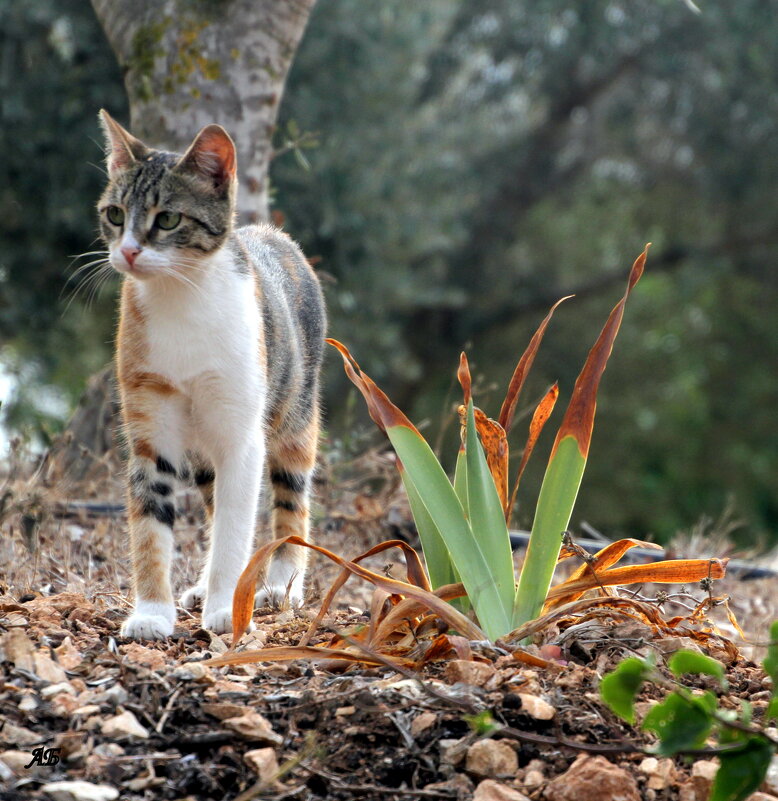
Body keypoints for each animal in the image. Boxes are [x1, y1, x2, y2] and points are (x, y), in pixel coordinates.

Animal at [97, 111, 324, 636]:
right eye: (115, 214)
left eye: (168, 218)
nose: (129, 252)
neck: (180, 296)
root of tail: (272, 234)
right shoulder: (149, 424)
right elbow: (151, 520)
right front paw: (151, 613)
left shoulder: (242, 433)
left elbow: (235, 525)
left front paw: (225, 609)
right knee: (212, 496)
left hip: (295, 413)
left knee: (290, 497)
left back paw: (280, 586)